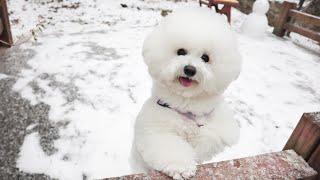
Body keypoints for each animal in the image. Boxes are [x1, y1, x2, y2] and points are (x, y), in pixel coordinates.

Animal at [131, 7, 241, 179]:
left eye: (205, 58)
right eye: (181, 51)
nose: (190, 69)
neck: (186, 102)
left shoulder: (222, 127)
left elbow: (209, 138)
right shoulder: (156, 131)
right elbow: (171, 147)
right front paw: (181, 167)